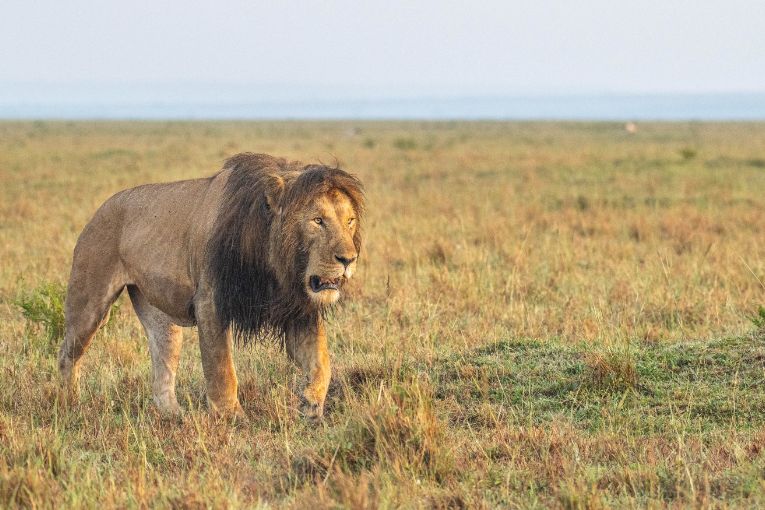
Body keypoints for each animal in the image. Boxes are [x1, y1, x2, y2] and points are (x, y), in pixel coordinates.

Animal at [58, 152, 362, 418]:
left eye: (350, 221)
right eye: (318, 221)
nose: (349, 259)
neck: (272, 265)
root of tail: (101, 208)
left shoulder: (298, 310)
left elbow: (321, 362)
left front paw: (311, 406)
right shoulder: (210, 303)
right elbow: (221, 368)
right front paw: (231, 417)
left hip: (162, 319)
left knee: (162, 366)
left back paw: (174, 416)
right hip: (90, 304)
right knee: (67, 353)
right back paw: (69, 404)